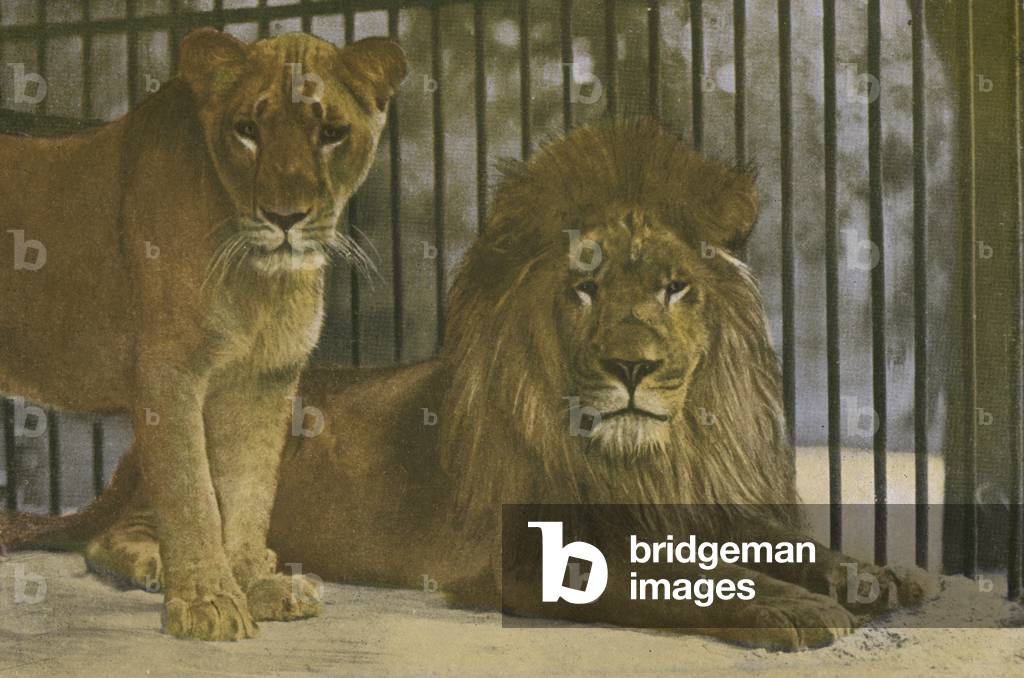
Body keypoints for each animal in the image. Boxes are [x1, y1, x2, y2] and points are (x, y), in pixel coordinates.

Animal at [0, 29, 406, 640]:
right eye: (247, 130)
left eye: (332, 133)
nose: (285, 216)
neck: (259, 280)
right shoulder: (168, 373)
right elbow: (193, 494)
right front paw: (208, 603)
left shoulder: (263, 381)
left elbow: (250, 489)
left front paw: (256, 585)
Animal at [1, 119, 934, 649]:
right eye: (584, 288)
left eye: (675, 287)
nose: (633, 367)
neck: (648, 456)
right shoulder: (526, 557)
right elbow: (667, 581)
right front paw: (791, 609)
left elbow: (779, 548)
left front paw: (873, 576)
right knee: (117, 532)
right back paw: (173, 570)